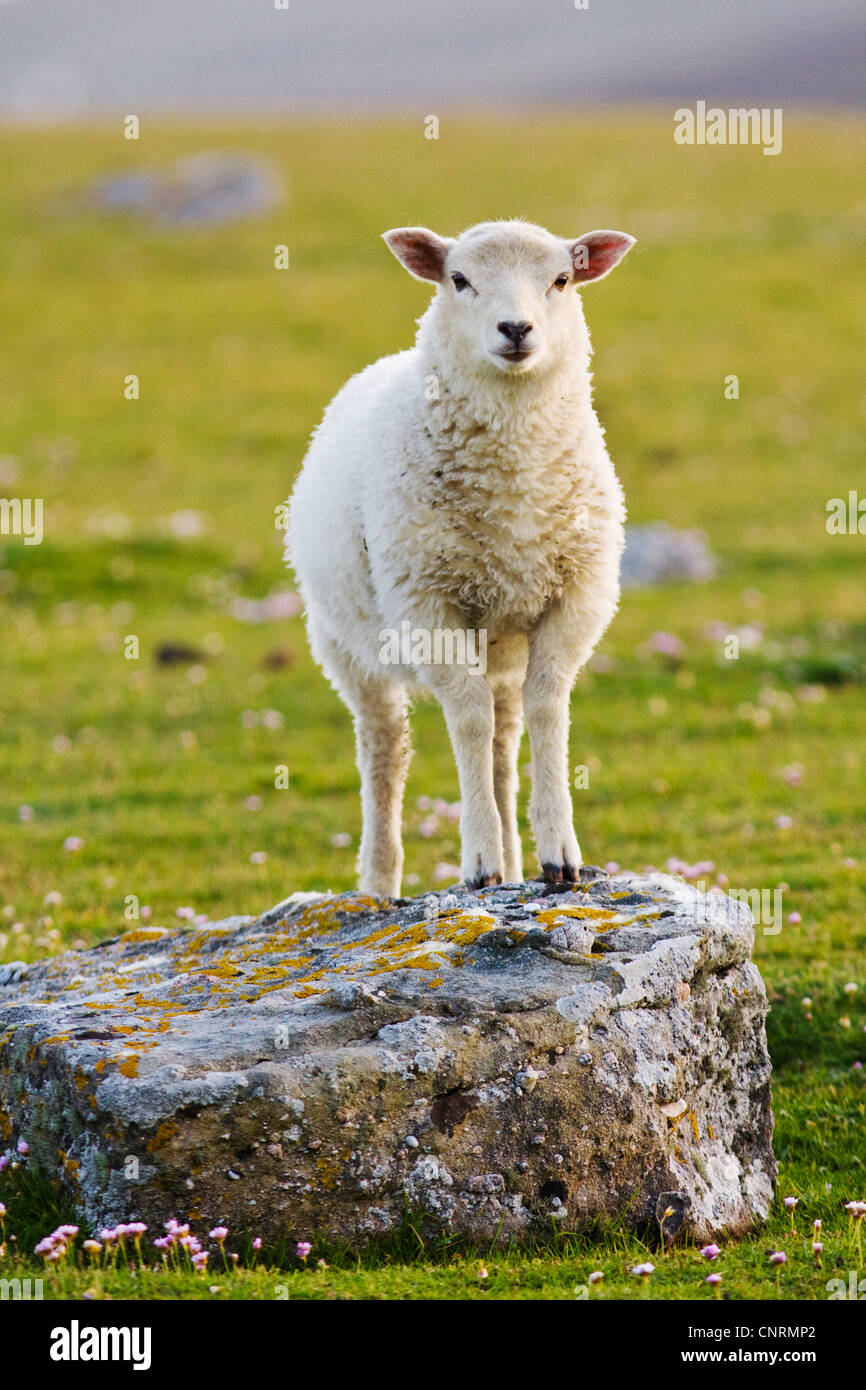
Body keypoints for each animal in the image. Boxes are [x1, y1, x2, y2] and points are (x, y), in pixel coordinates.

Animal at [291, 214, 636, 889]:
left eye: (562, 279)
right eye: (459, 279)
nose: (516, 329)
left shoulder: (574, 597)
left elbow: (547, 709)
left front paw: (558, 853)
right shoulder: (430, 607)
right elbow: (467, 721)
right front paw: (477, 863)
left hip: (501, 639)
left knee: (504, 743)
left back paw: (513, 854)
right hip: (345, 645)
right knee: (384, 750)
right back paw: (380, 883)